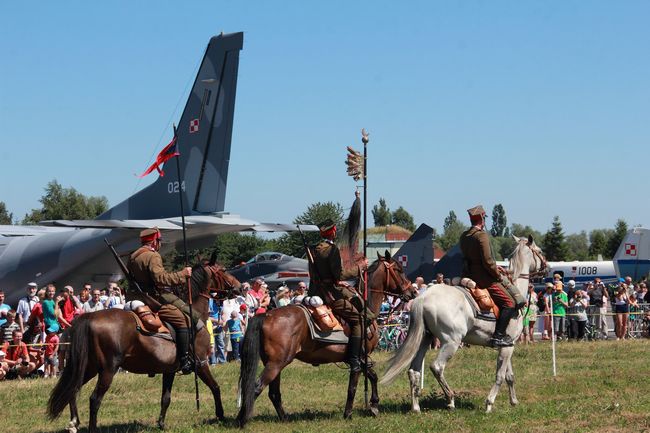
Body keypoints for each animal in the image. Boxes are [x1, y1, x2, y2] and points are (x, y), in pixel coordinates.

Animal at [47, 260, 240, 432]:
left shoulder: (169, 370)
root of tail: (89, 317)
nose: (238, 288)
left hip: (89, 367)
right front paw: (221, 415)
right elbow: (215, 387)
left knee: (73, 390)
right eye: (223, 270)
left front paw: (161, 424)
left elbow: (165, 398)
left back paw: (74, 422)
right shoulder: (201, 363)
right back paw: (91, 428)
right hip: (107, 370)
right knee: (94, 399)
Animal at [237, 250, 416, 426]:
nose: (413, 292)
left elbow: (373, 376)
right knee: (256, 387)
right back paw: (243, 420)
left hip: (275, 363)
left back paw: (283, 418)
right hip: (276, 363)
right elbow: (353, 386)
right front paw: (349, 413)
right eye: (399, 270)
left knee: (273, 393)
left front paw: (374, 405)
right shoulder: (358, 359)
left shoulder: (360, 359)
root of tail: (267, 315)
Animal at [380, 236, 548, 412]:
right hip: (451, 342)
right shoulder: (508, 346)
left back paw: (416, 406)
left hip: (425, 340)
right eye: (540, 251)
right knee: (437, 367)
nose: (547, 267)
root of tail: (422, 297)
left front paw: (514, 401)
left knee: (414, 370)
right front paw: (489, 403)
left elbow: (509, 375)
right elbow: (500, 376)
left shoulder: (507, 345)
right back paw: (450, 399)